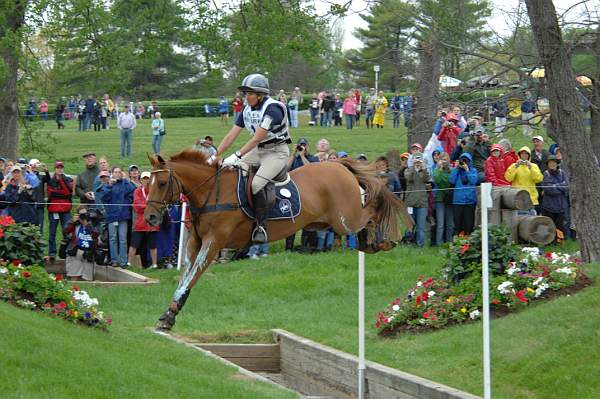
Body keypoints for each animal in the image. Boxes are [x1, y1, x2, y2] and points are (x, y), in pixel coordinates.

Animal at [145, 150, 412, 332]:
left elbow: (192, 276)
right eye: (147, 183)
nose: (149, 217)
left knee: (372, 210)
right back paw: (370, 242)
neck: (212, 192)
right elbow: (186, 276)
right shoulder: (196, 243)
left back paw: (382, 241)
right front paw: (169, 313)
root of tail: (338, 165)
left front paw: (169, 316)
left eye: (161, 183)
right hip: (325, 222)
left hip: (346, 218)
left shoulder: (214, 243)